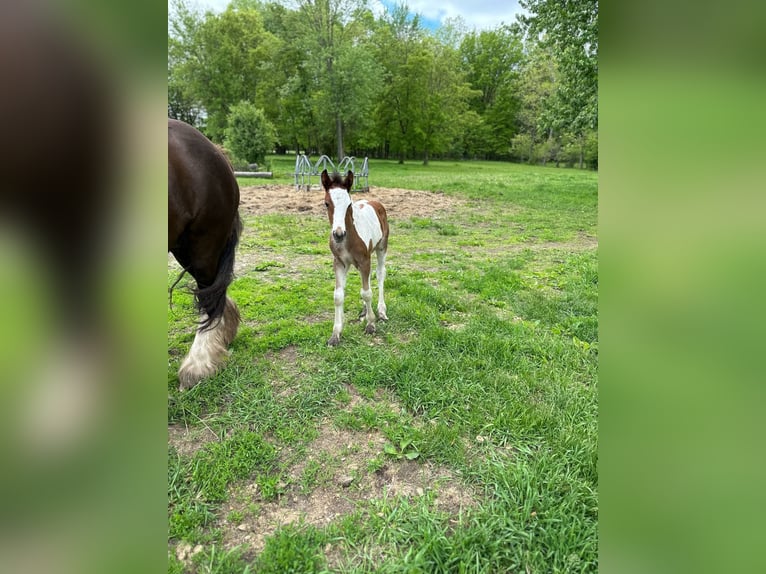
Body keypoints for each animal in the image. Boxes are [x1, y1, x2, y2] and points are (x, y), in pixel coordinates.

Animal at [321, 169, 389, 346]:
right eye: (326, 203)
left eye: (349, 204)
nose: (338, 234)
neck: (348, 239)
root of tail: (374, 202)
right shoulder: (339, 263)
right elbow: (338, 296)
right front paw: (335, 334)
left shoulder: (364, 261)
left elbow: (367, 293)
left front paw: (371, 324)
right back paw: (364, 311)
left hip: (381, 247)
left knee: (380, 274)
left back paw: (381, 311)